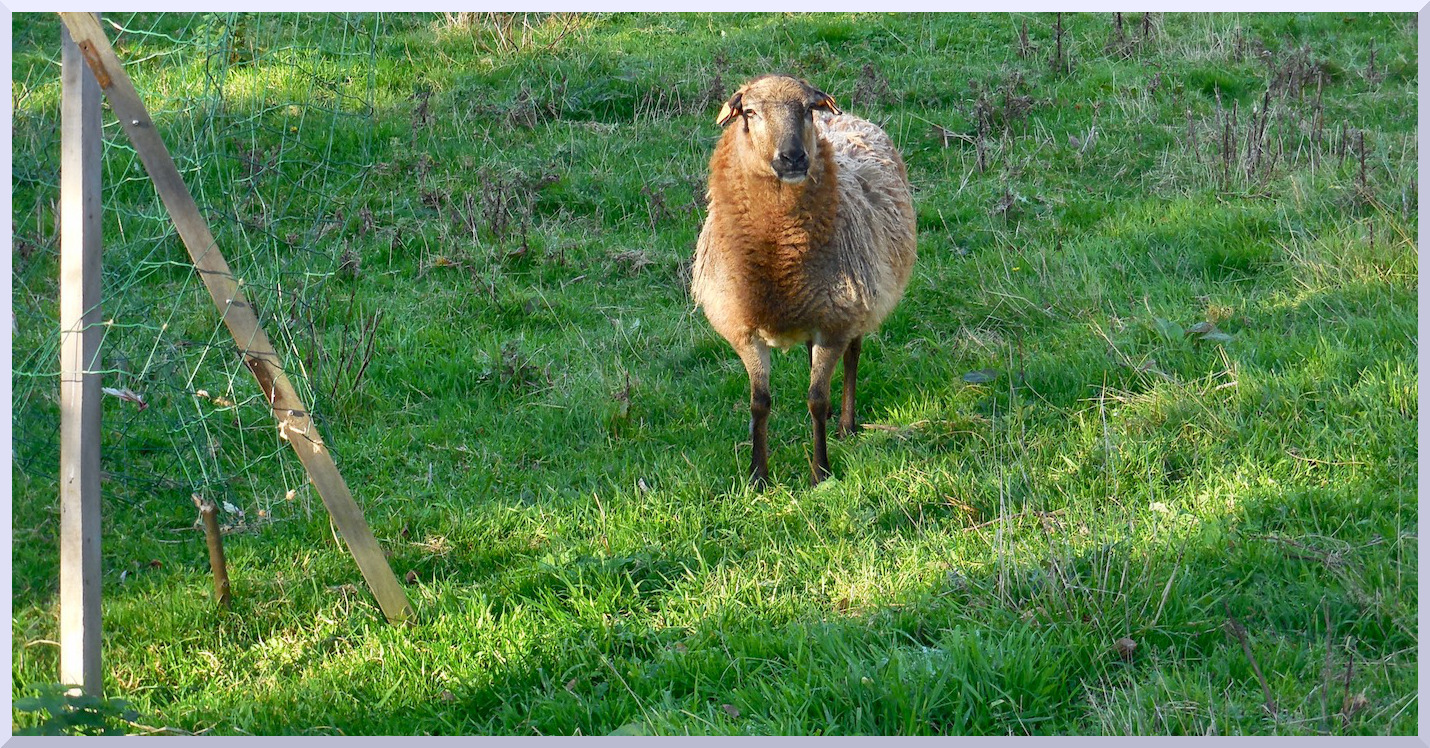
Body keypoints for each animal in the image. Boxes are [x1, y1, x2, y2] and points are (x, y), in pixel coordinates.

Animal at [690, 74, 917, 487]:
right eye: (750, 112)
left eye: (809, 109)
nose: (793, 158)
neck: (778, 260)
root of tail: (845, 118)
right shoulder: (745, 330)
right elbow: (759, 403)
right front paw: (758, 475)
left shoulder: (835, 320)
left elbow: (816, 397)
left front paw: (820, 472)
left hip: (855, 303)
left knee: (852, 357)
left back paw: (844, 423)